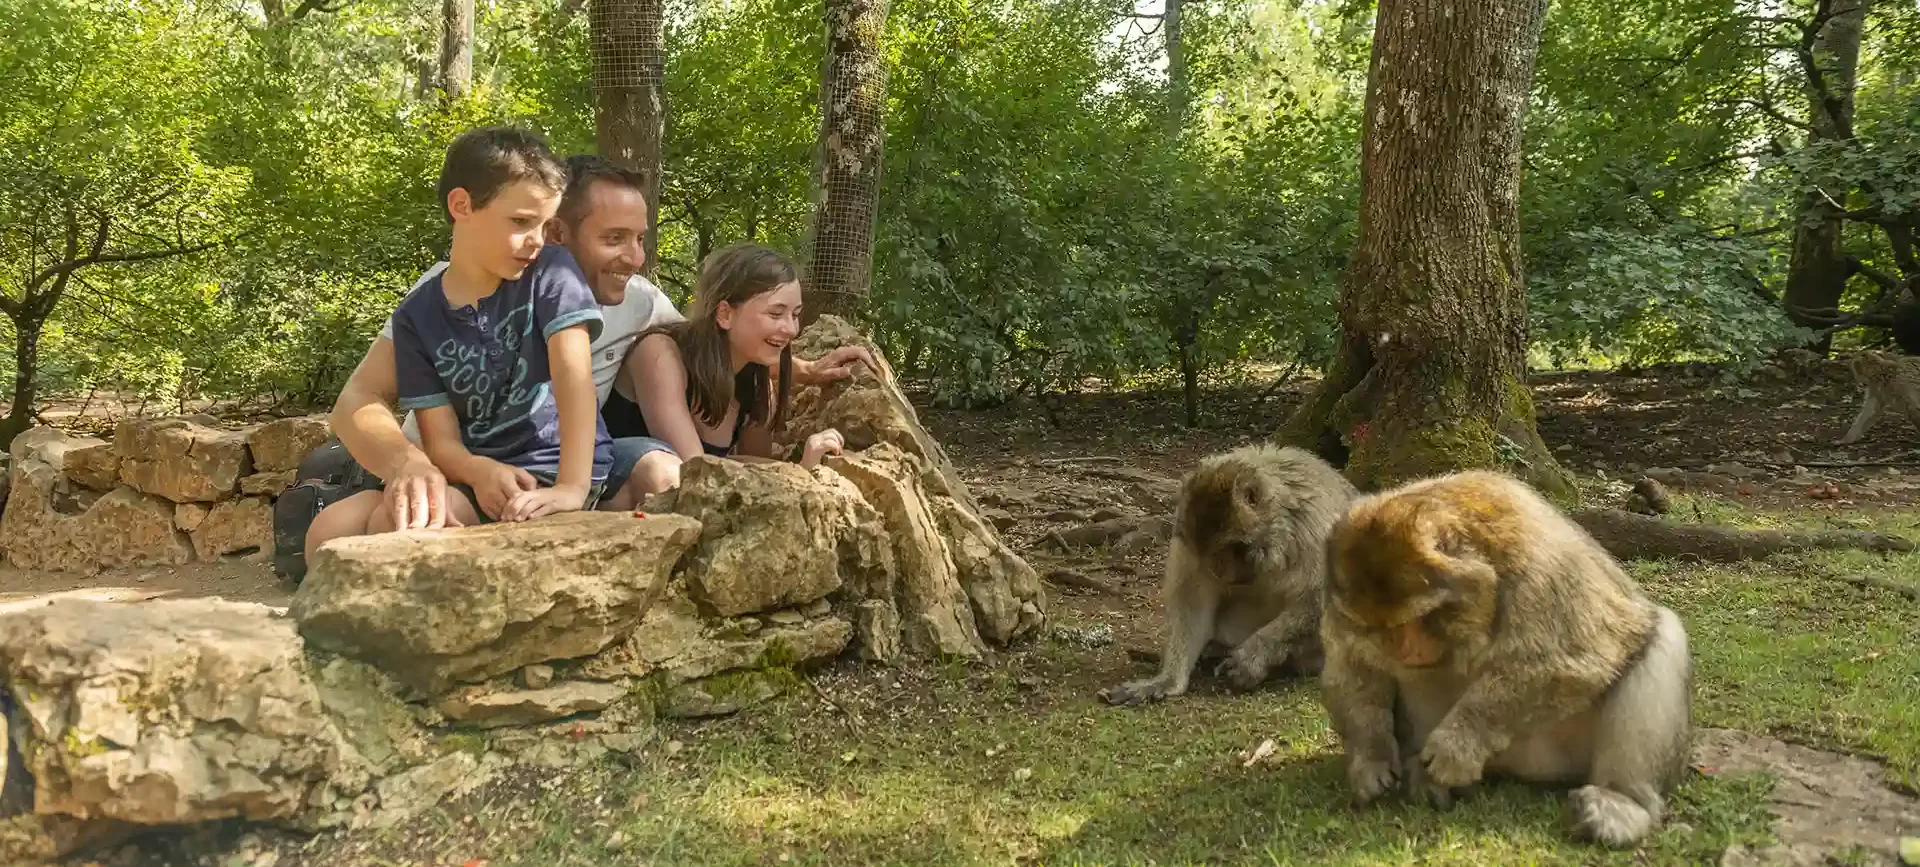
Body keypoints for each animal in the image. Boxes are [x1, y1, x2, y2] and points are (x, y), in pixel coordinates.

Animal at [1105, 446, 1359, 705]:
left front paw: (1251, 658)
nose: (1219, 571)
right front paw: (1168, 680)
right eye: (1209, 553)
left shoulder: (1317, 532)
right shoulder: (1187, 540)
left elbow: (1324, 602)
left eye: (1232, 547)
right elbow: (1192, 599)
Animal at [1328, 469, 1689, 851]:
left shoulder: (1539, 565)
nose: (1402, 647)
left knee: (1663, 636)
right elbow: (1353, 664)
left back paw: (1622, 800)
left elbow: (1570, 659)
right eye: (1377, 627)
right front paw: (1371, 755)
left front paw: (1457, 745)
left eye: (1416, 618)